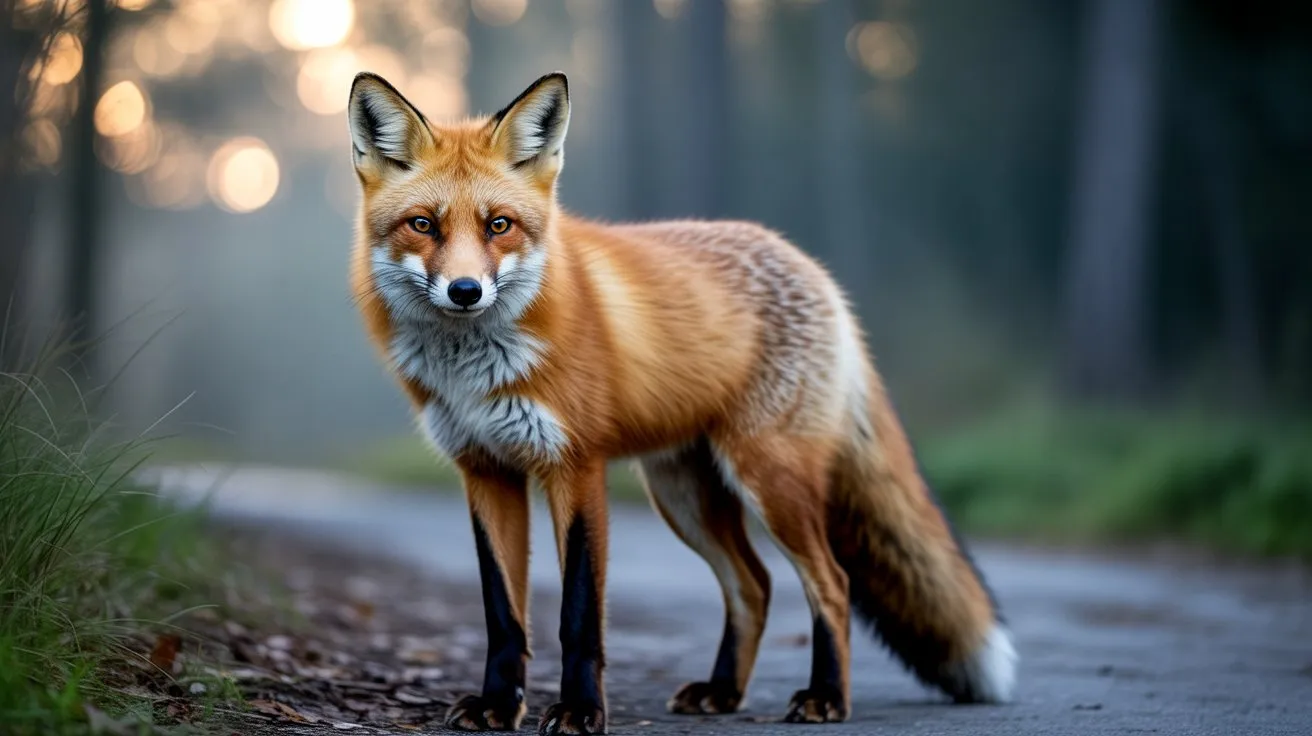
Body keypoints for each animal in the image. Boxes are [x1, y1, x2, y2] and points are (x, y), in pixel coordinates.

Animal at [346, 71, 1017, 734]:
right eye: (423, 225)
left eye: (499, 225)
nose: (465, 291)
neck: (474, 369)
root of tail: (810, 267)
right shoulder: (485, 470)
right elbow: (502, 613)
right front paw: (496, 705)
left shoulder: (575, 466)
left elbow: (578, 614)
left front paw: (580, 711)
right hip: (685, 495)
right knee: (755, 585)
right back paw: (723, 691)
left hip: (768, 480)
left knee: (832, 581)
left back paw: (825, 696)